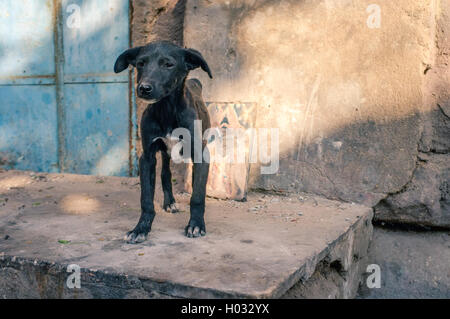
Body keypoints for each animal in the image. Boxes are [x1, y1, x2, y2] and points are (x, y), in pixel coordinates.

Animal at [112, 40, 211, 245]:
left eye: (168, 64)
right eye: (140, 63)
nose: (144, 88)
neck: (166, 110)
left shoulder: (201, 155)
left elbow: (197, 196)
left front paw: (196, 225)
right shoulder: (147, 157)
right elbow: (146, 199)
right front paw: (141, 228)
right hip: (165, 153)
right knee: (165, 173)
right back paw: (169, 202)